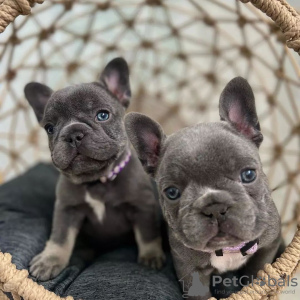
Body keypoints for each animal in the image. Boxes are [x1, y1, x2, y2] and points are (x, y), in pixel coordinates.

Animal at [24, 58, 165, 282]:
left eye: (102, 115)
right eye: (50, 128)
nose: (73, 134)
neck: (97, 180)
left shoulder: (142, 206)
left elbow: (147, 234)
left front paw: (151, 256)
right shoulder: (67, 210)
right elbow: (60, 237)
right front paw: (49, 260)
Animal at [125, 77, 282, 298]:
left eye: (248, 175)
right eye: (172, 193)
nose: (214, 206)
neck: (228, 249)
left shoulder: (268, 245)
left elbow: (256, 272)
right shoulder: (189, 269)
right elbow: (199, 293)